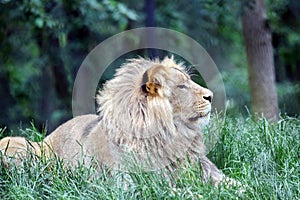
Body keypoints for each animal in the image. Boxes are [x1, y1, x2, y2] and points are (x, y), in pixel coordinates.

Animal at [0, 55, 226, 184]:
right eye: (182, 86)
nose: (211, 96)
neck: (174, 135)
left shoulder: (209, 173)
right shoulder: (138, 185)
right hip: (15, 145)